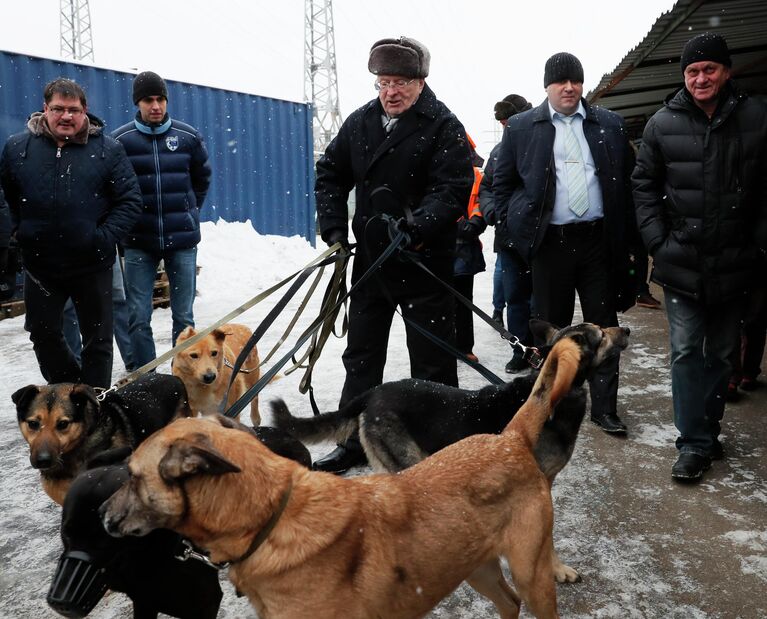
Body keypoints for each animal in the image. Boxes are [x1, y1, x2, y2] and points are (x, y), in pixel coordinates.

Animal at [99, 340, 584, 619]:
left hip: (528, 572)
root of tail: (511, 438)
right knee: (509, 604)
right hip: (475, 565)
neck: (270, 522)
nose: (100, 513)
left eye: (131, 475)